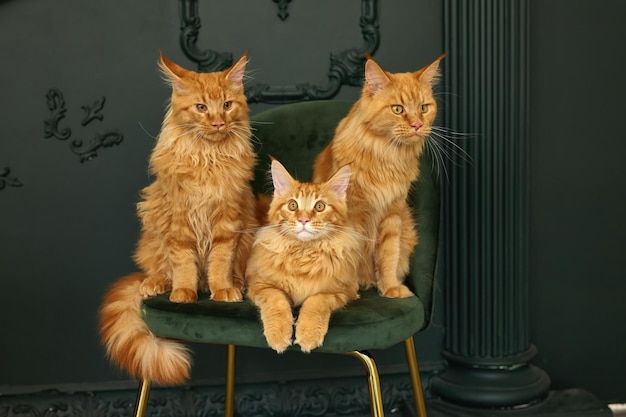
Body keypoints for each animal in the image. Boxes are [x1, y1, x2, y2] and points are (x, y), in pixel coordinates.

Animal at [98, 52, 255, 384]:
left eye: (227, 104)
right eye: (201, 107)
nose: (218, 122)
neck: (209, 158)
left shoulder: (228, 219)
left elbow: (220, 260)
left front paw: (222, 288)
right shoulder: (179, 220)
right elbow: (182, 263)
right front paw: (184, 291)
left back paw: (232, 284)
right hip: (152, 220)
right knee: (159, 268)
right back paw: (156, 283)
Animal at [246, 158, 358, 352]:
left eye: (320, 206)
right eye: (293, 205)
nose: (303, 220)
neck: (304, 252)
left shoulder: (341, 291)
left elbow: (316, 302)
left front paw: (308, 334)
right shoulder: (259, 284)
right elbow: (276, 301)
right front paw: (278, 334)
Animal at [312, 54, 444, 296]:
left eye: (423, 108)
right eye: (398, 109)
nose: (417, 124)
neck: (387, 157)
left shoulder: (392, 214)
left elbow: (388, 257)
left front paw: (390, 287)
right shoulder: (353, 215)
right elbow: (351, 257)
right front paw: (350, 291)